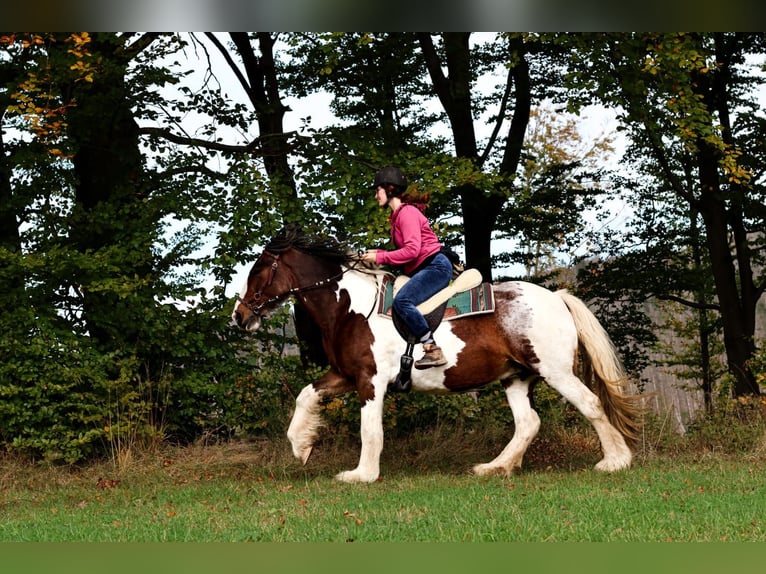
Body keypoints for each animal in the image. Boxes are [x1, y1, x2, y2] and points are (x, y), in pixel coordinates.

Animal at [232, 227, 640, 484]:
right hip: (515, 377)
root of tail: (556, 297)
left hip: (556, 372)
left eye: (259, 271)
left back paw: (615, 461)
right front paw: (302, 447)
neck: (351, 308)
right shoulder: (345, 375)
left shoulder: (369, 382)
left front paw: (361, 475)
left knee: (590, 404)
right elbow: (305, 396)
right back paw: (495, 468)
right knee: (528, 423)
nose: (240, 315)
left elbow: (369, 429)